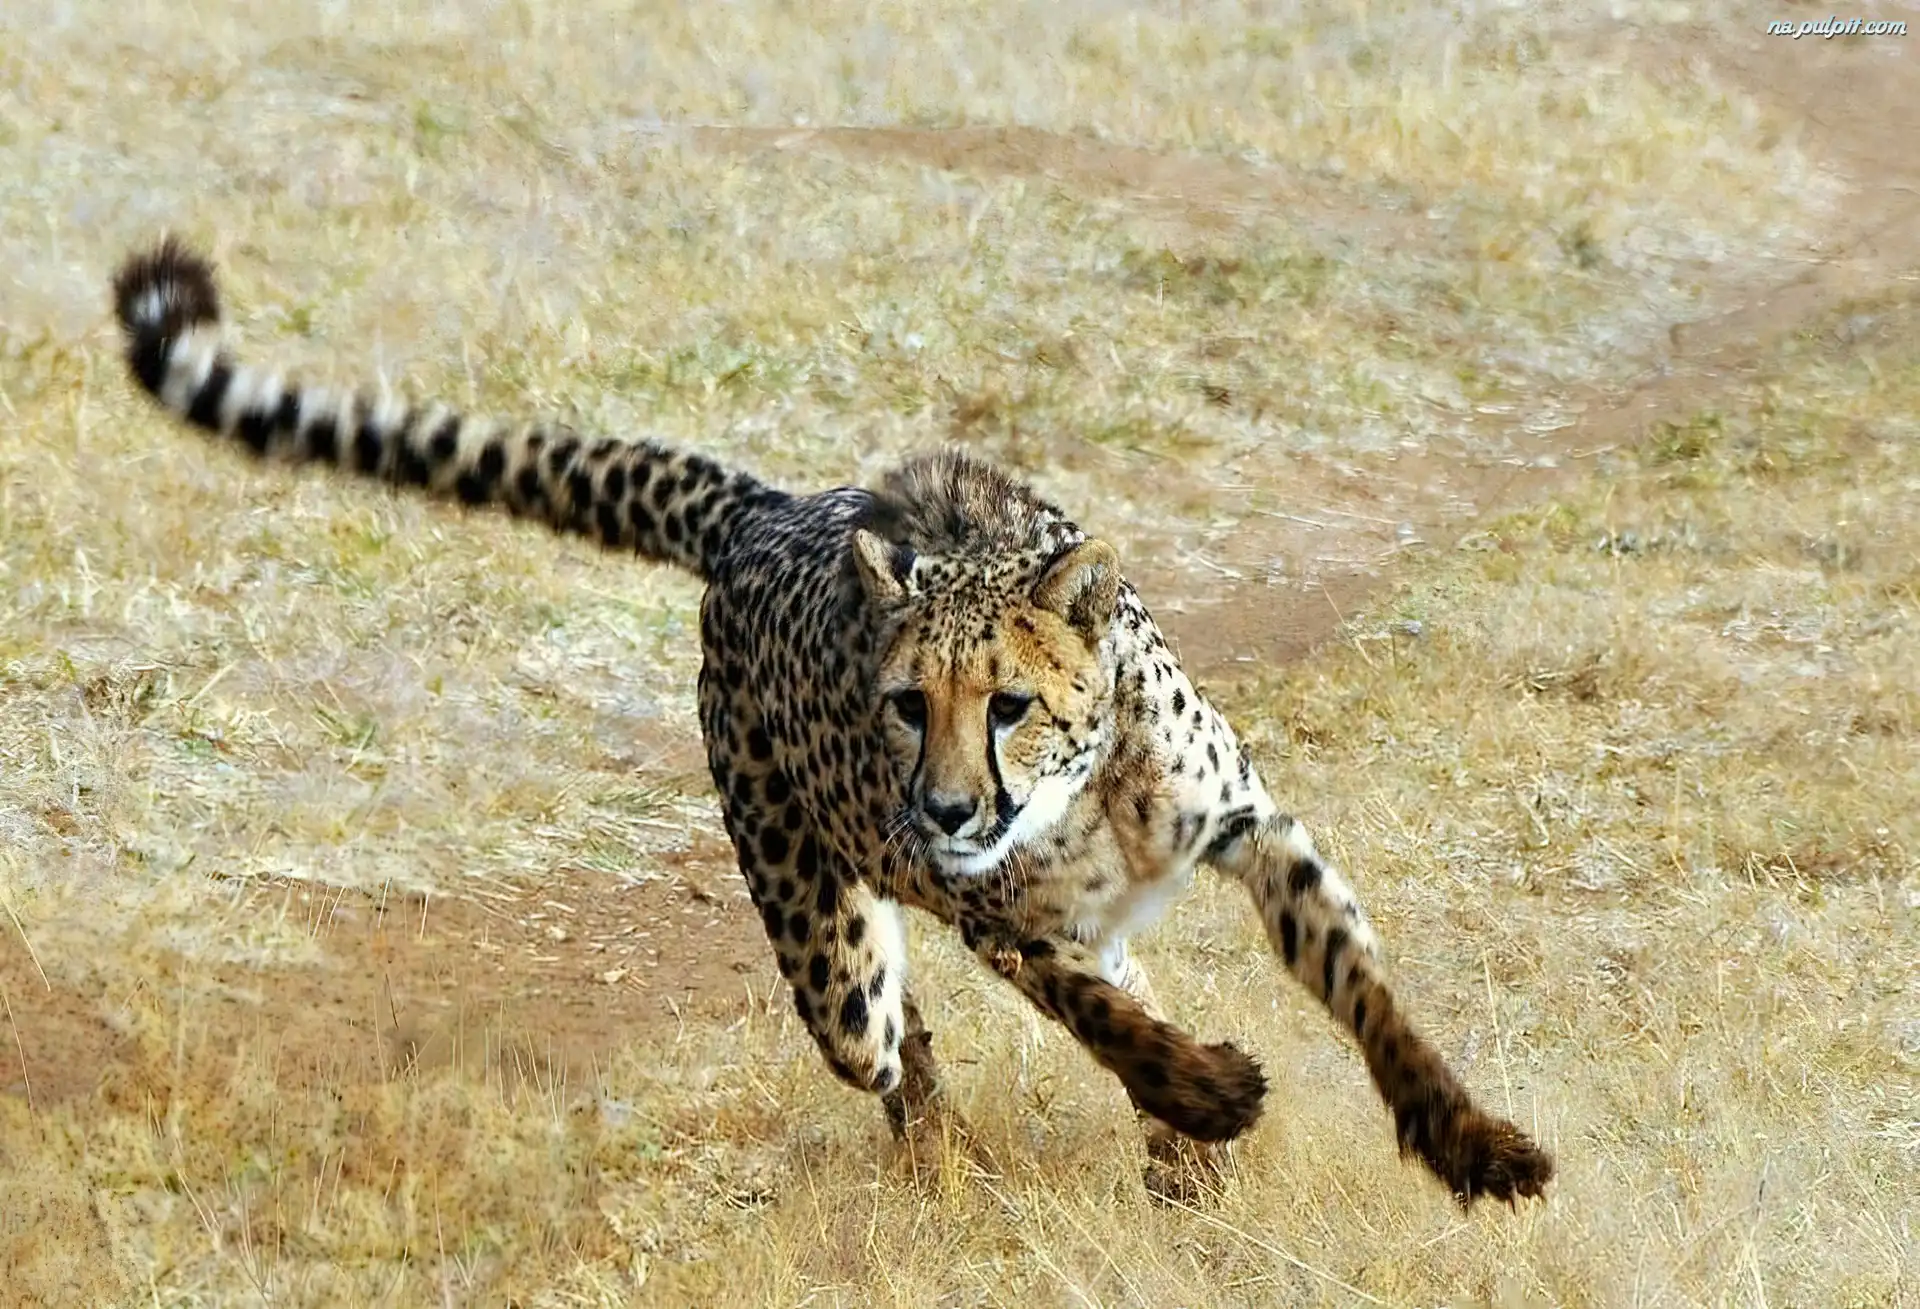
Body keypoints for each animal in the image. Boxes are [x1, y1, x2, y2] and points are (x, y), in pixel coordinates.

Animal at [110, 237, 1554, 1207]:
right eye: (906, 705)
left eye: (1010, 704)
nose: (948, 807)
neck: (1090, 793)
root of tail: (770, 507)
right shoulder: (998, 914)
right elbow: (1104, 1016)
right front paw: (1206, 1087)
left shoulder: (1254, 829)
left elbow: (1368, 997)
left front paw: (1472, 1143)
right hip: (828, 948)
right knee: (892, 1033)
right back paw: (959, 1156)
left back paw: (1156, 1155)